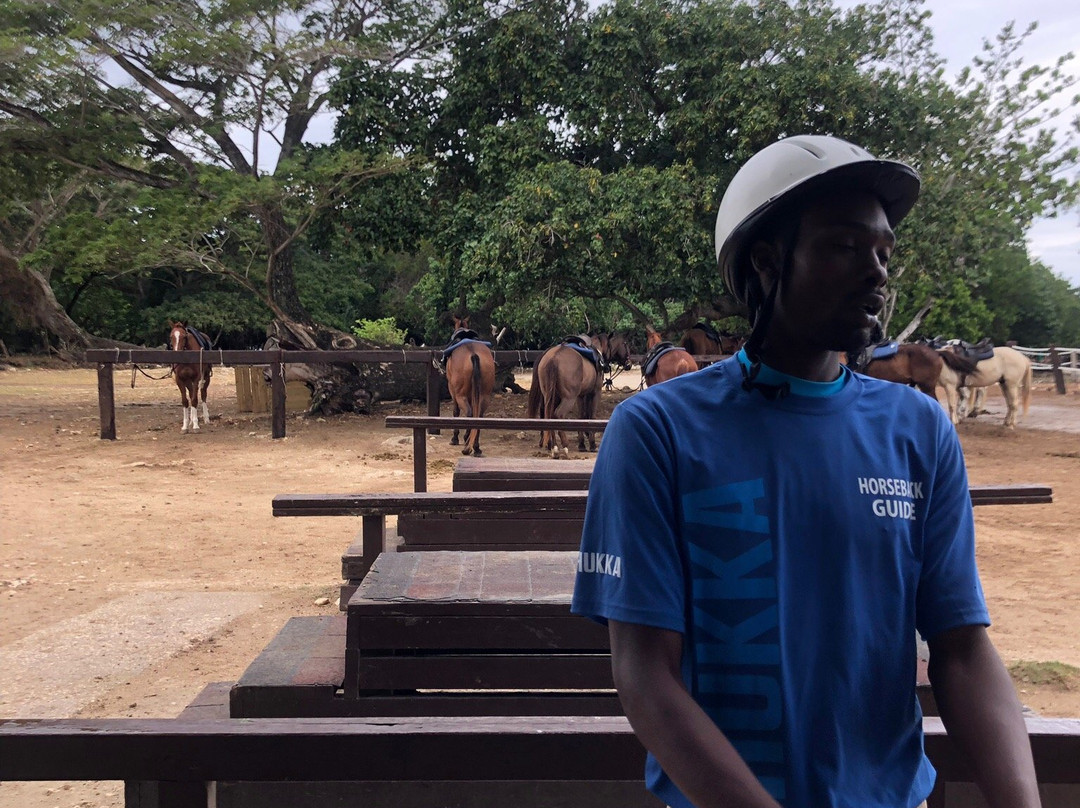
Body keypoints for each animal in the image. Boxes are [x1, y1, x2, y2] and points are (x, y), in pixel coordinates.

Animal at [442, 315, 494, 453]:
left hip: (460, 396)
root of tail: (473, 353)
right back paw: (476, 446)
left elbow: (455, 412)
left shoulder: (453, 392)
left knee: (469, 413)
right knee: (479, 415)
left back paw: (467, 443)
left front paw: (455, 438)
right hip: (484, 396)